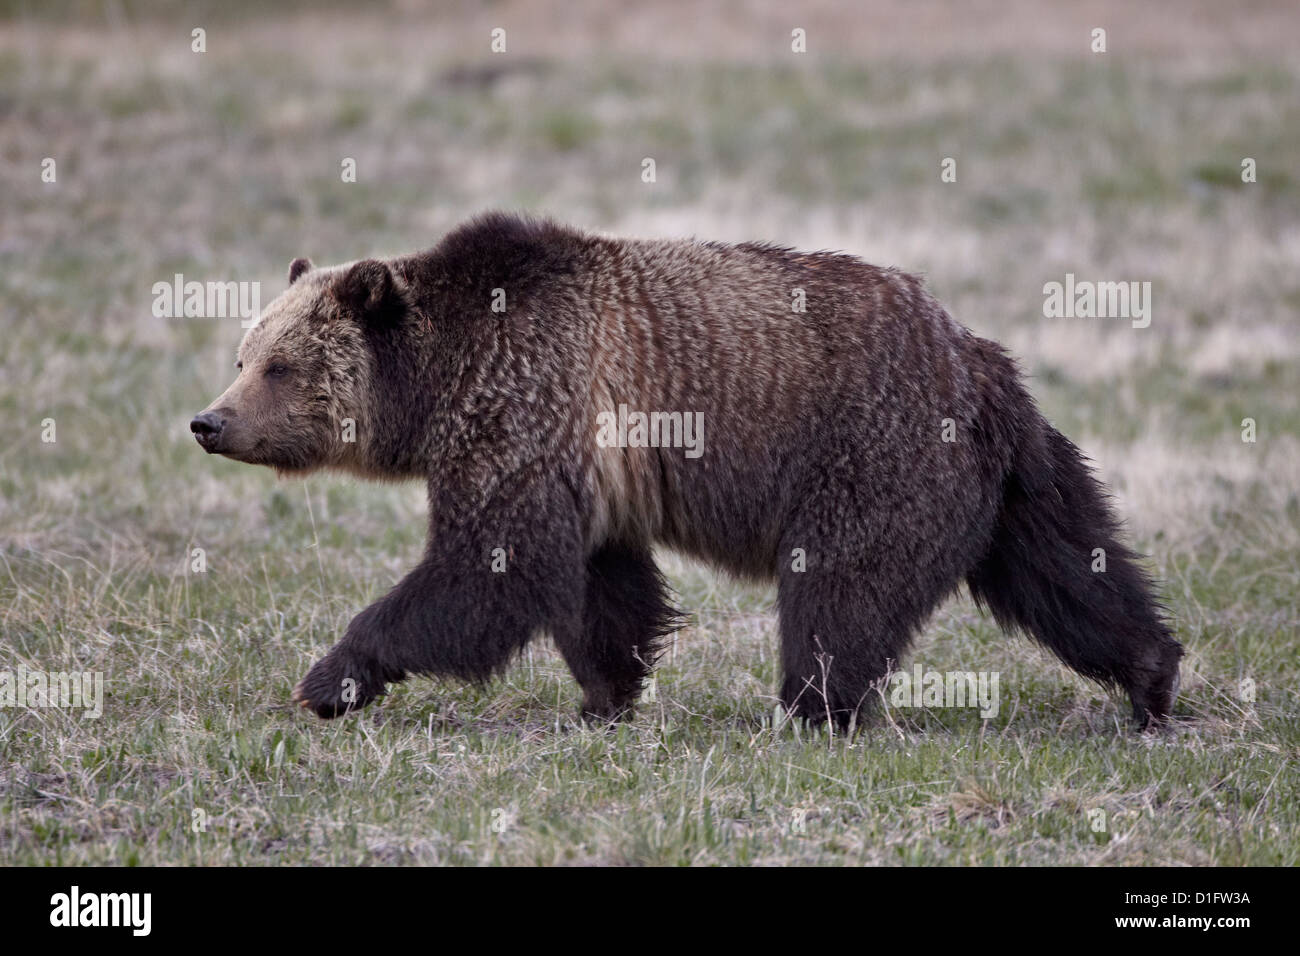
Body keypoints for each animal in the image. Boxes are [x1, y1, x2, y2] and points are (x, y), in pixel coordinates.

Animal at [189, 213, 1180, 728]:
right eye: (242, 353)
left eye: (280, 364)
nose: (208, 420)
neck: (440, 378)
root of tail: (977, 362)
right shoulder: (586, 462)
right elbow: (600, 587)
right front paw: (606, 696)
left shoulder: (525, 407)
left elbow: (488, 569)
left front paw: (331, 675)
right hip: (1013, 479)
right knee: (1070, 570)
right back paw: (1153, 676)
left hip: (873, 455)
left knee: (840, 593)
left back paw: (811, 708)